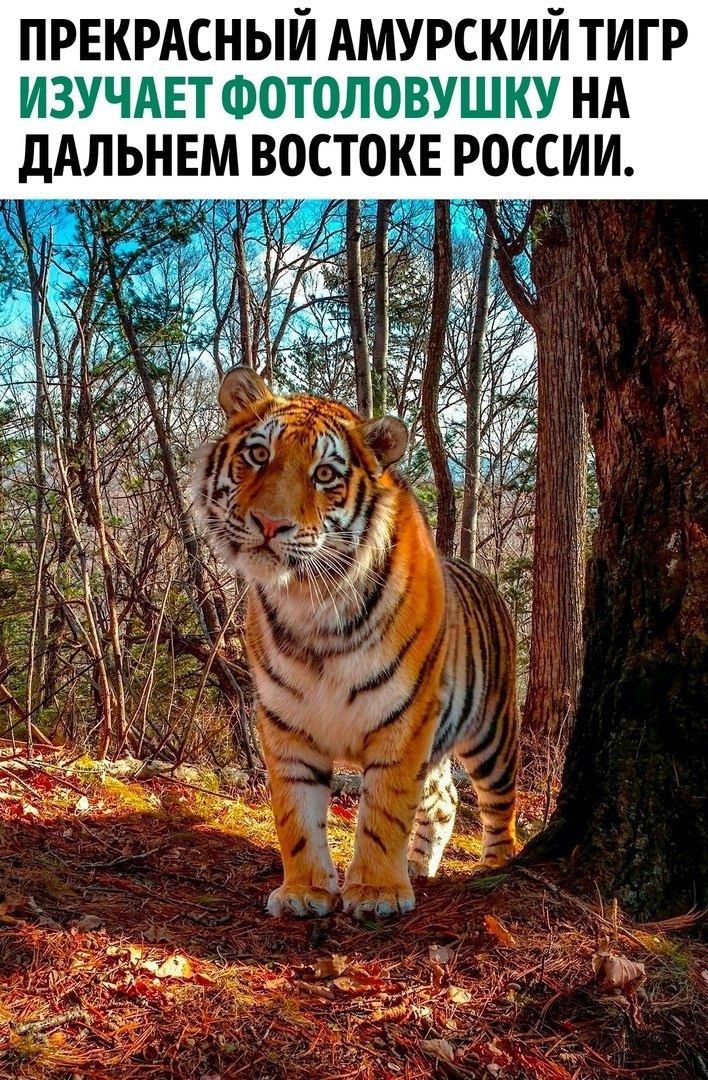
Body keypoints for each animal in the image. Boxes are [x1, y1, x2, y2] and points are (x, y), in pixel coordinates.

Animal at [191, 366, 519, 921]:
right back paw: (422, 866)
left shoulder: (403, 720)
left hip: (492, 731)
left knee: (500, 802)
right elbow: (296, 815)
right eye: (258, 454)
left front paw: (376, 892)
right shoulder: (285, 721)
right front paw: (305, 891)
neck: (309, 603)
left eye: (325, 475)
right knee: (443, 800)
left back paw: (496, 869)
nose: (270, 524)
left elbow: (384, 811)